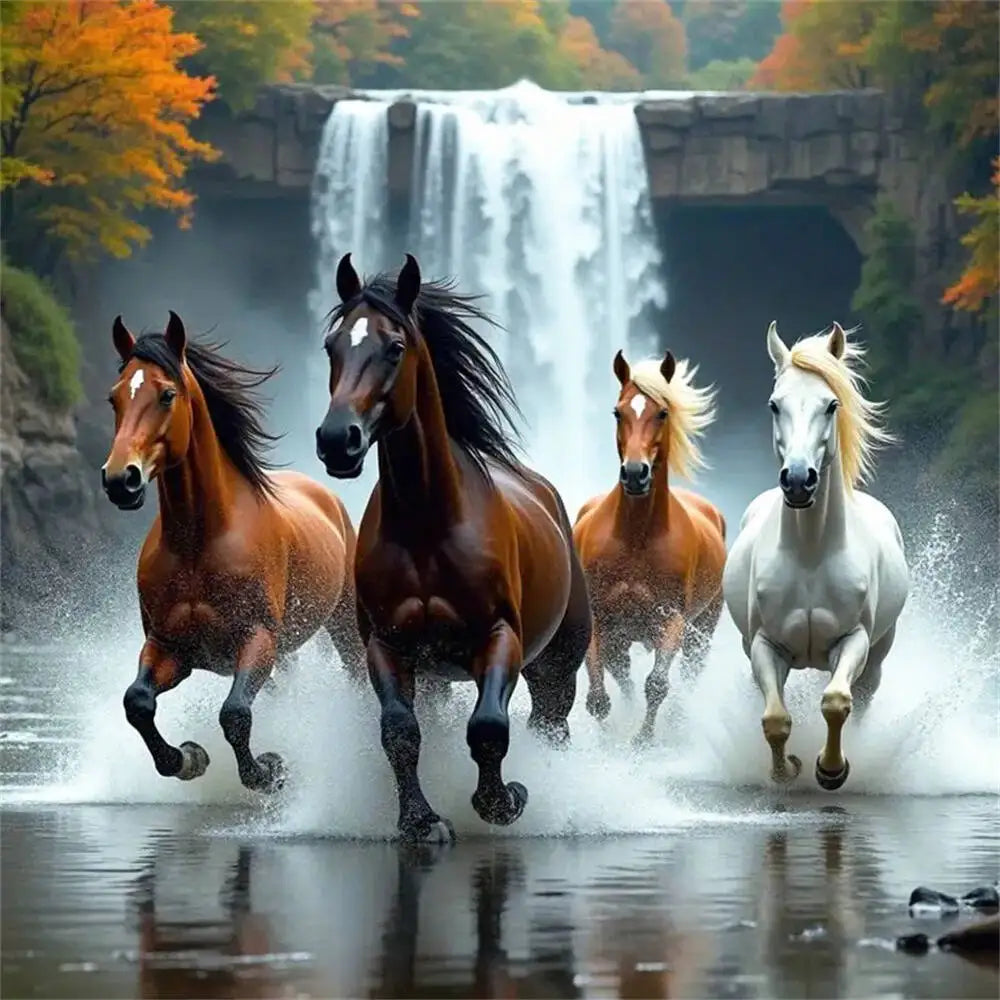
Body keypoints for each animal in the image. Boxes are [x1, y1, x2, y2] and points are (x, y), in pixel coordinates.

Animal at [102, 311, 363, 793]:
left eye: (167, 394)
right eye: (115, 397)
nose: (119, 480)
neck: (198, 543)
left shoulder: (256, 639)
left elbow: (235, 714)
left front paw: (270, 770)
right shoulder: (169, 646)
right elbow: (138, 702)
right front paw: (187, 758)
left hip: (344, 627)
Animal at [314, 252, 591, 841]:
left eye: (395, 347)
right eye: (332, 345)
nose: (337, 440)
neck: (428, 528)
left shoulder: (499, 637)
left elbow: (488, 728)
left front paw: (504, 801)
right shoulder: (389, 646)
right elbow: (400, 731)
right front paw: (421, 821)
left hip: (557, 665)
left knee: (549, 722)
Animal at [573, 349, 726, 746]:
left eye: (662, 412)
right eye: (617, 412)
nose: (635, 474)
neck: (635, 539)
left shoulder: (670, 620)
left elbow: (657, 684)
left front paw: (642, 740)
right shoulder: (600, 617)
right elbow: (598, 697)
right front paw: (609, 739)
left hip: (702, 630)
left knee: (687, 674)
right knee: (621, 673)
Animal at [722, 321, 909, 790]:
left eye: (831, 405)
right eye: (775, 404)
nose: (798, 480)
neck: (810, 554)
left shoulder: (853, 640)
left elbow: (836, 702)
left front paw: (830, 769)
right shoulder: (765, 645)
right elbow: (774, 719)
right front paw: (787, 769)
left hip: (878, 656)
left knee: (861, 700)